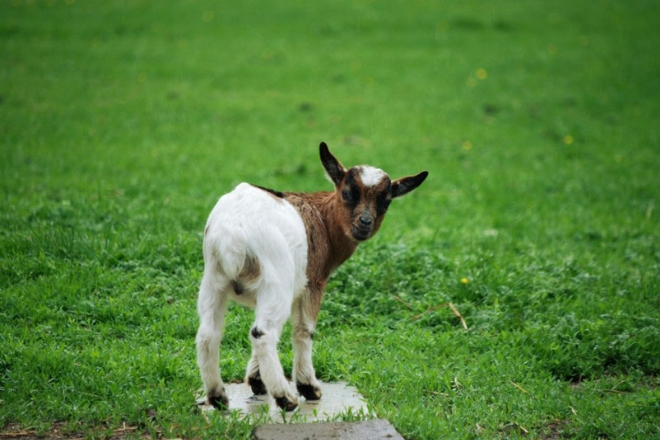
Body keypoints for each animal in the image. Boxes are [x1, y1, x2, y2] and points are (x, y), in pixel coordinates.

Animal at [196, 143, 428, 410]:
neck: (323, 219)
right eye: (346, 192)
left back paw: (218, 397)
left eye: (386, 201)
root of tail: (231, 235)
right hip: (276, 281)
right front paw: (308, 387)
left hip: (214, 279)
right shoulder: (313, 283)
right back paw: (286, 398)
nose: (365, 223)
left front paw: (256, 380)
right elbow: (304, 330)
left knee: (208, 333)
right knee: (262, 333)